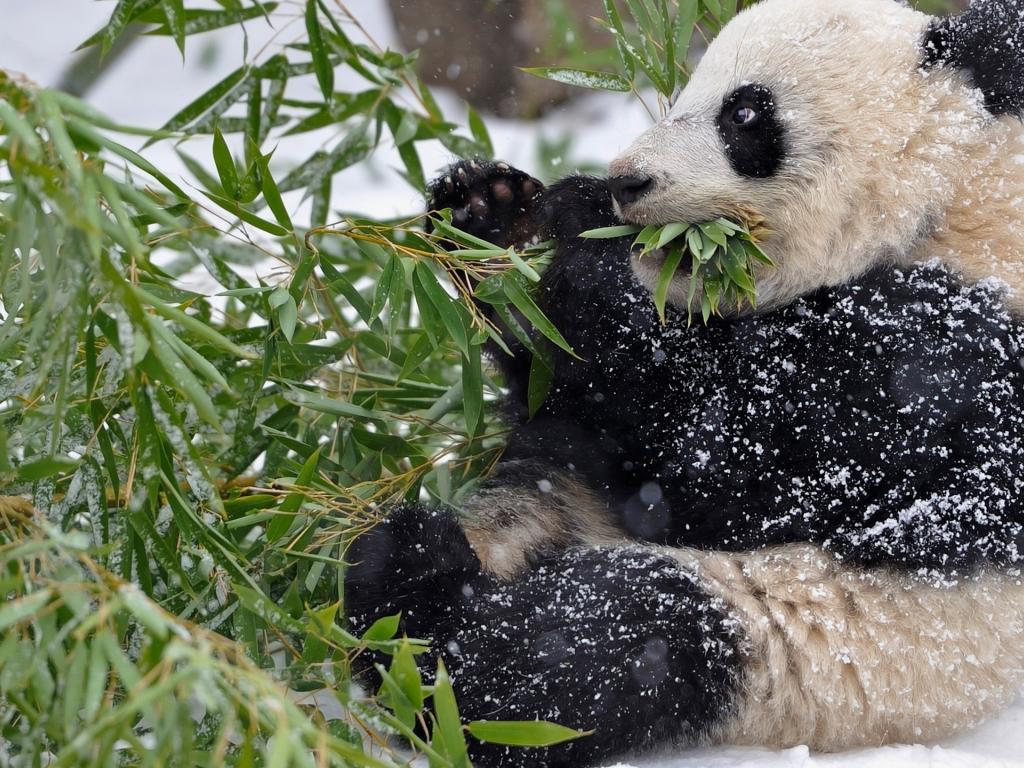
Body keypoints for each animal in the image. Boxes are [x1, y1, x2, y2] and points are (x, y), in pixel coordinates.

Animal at [345, 1, 1024, 766]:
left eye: (745, 114)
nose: (625, 181)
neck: (951, 203)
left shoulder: (943, 355)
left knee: (604, 642)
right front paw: (491, 215)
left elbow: (731, 458)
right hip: (554, 498)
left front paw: (580, 235)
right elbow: (566, 394)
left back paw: (415, 591)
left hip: (807, 641)